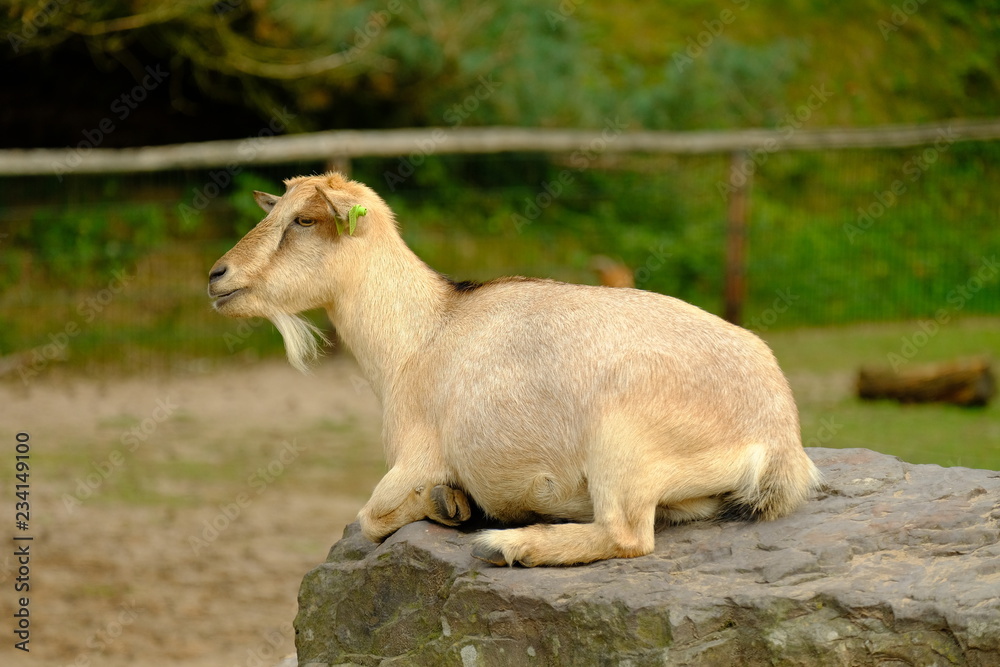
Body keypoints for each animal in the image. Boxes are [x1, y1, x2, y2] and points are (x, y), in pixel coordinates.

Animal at [207, 172, 820, 566]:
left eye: (306, 219)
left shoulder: (416, 454)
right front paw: (453, 503)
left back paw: (510, 544)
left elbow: (370, 517)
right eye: (276, 212)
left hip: (622, 439)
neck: (423, 333)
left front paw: (451, 505)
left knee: (626, 535)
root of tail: (778, 436)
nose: (218, 277)